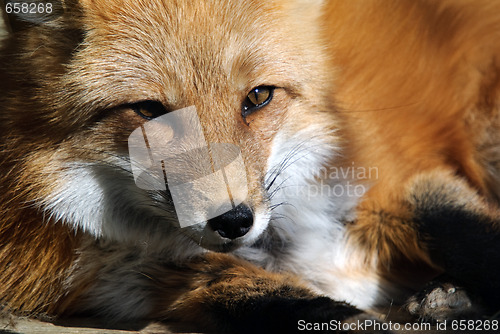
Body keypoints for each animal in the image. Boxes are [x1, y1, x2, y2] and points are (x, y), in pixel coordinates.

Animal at [0, 0, 498, 332]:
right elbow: (284, 302)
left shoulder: (387, 173)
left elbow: (464, 232)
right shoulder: (135, 279)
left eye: (258, 97)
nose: (234, 220)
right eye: (150, 112)